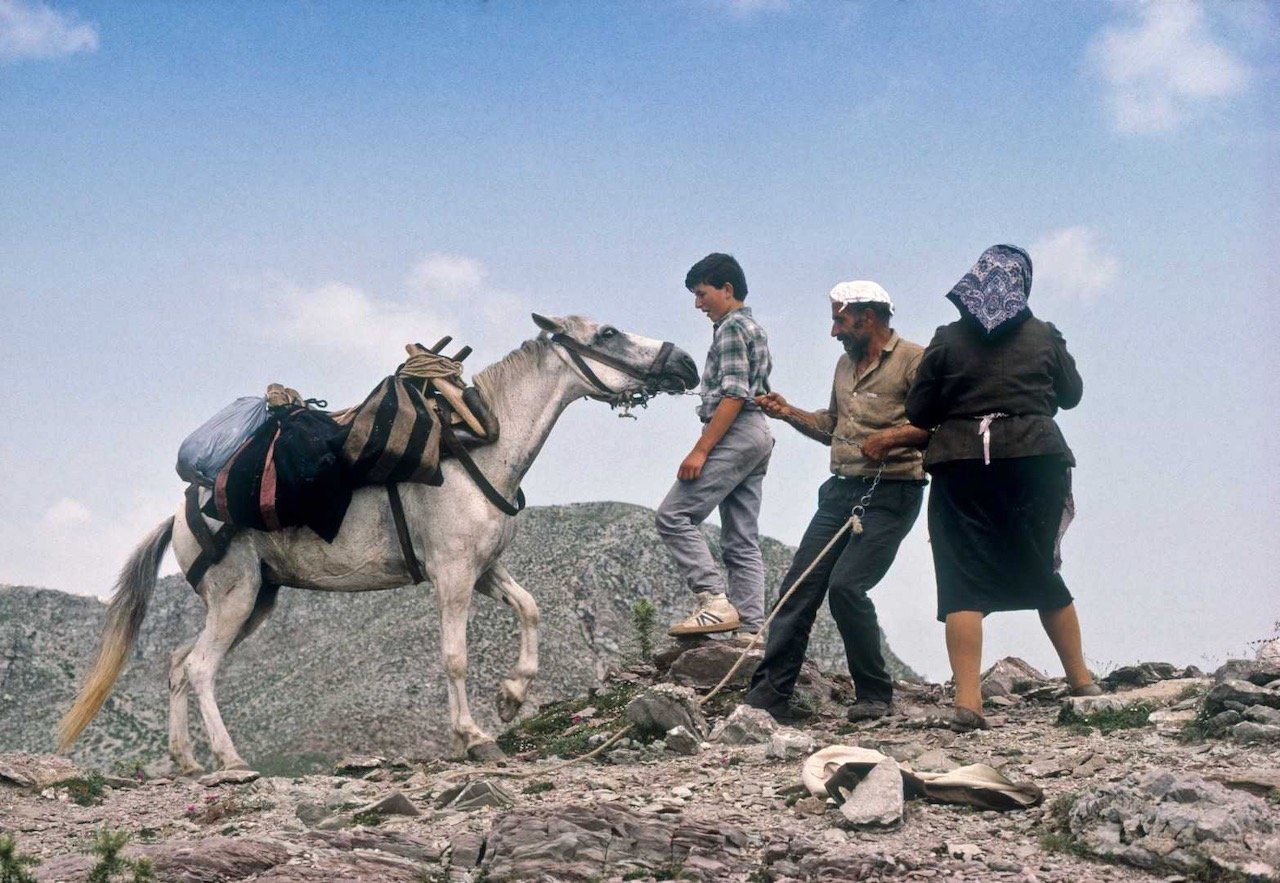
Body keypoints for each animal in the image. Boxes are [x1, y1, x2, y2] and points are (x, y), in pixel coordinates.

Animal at [57, 313, 701, 767]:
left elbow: (532, 609)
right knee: (200, 668)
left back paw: (188, 760)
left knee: (176, 661)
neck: (476, 447)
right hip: (234, 597)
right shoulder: (452, 575)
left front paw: (512, 696)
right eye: (609, 332)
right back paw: (230, 758)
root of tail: (180, 512)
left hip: (253, 602)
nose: (687, 363)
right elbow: (455, 656)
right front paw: (473, 737)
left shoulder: (485, 571)